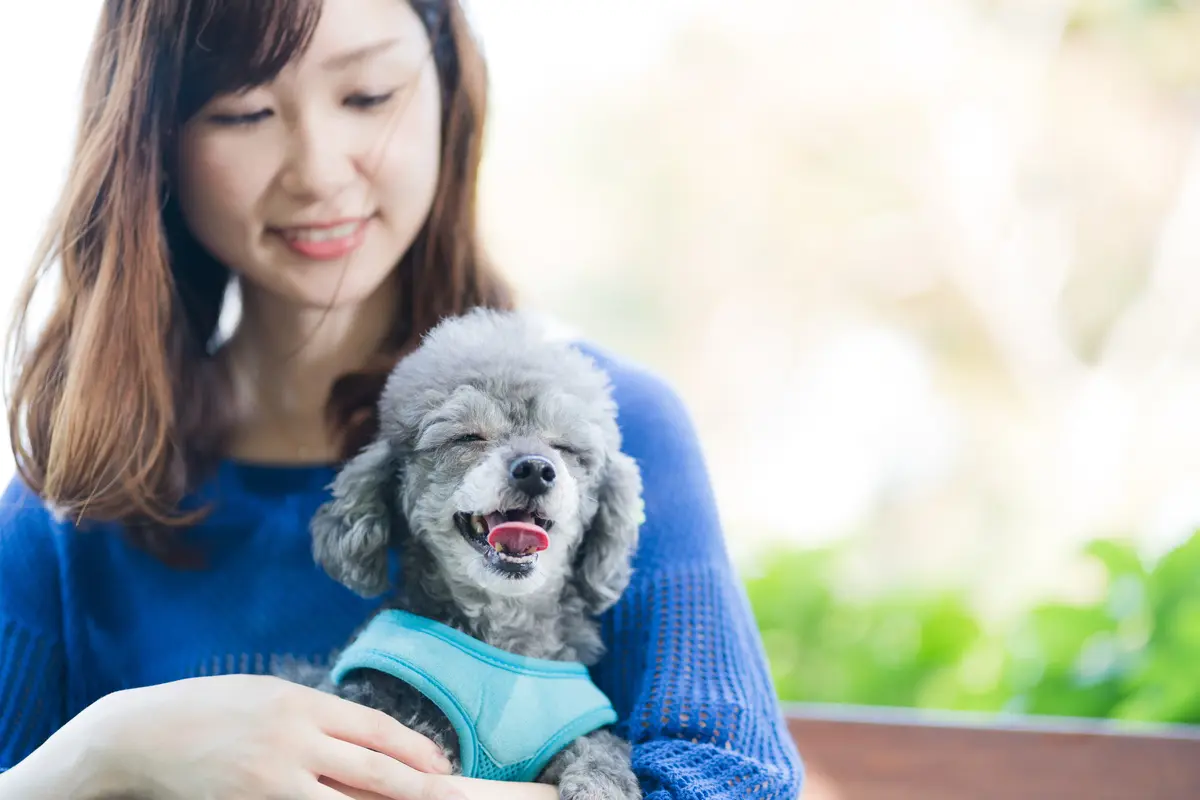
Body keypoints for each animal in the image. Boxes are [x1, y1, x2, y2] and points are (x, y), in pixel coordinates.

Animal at [291, 311, 648, 800]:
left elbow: (601, 746)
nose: (535, 469)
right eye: (467, 437)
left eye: (566, 448)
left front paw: (601, 783)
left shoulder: (576, 730)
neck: (501, 630)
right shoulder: (384, 708)